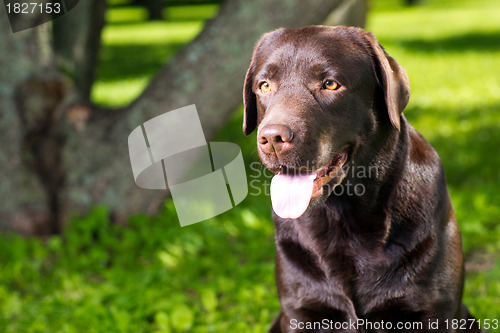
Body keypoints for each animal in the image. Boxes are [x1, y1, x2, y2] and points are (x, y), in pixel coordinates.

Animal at [242, 26, 480, 332]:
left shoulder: (435, 310)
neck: (344, 217)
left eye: (330, 84)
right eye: (264, 86)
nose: (272, 138)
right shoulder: (300, 310)